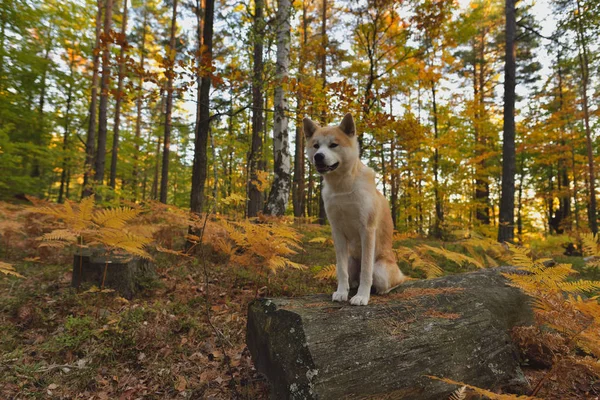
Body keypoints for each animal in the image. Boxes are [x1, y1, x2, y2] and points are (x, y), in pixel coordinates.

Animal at [302, 112, 406, 306]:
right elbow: (342, 272)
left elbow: (366, 271)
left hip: (380, 269)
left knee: (391, 281)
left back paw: (380, 290)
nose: (318, 156)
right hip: (351, 261)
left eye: (333, 145)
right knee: (351, 276)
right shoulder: (337, 231)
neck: (342, 187)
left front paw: (362, 296)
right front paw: (342, 293)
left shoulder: (367, 230)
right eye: (316, 146)